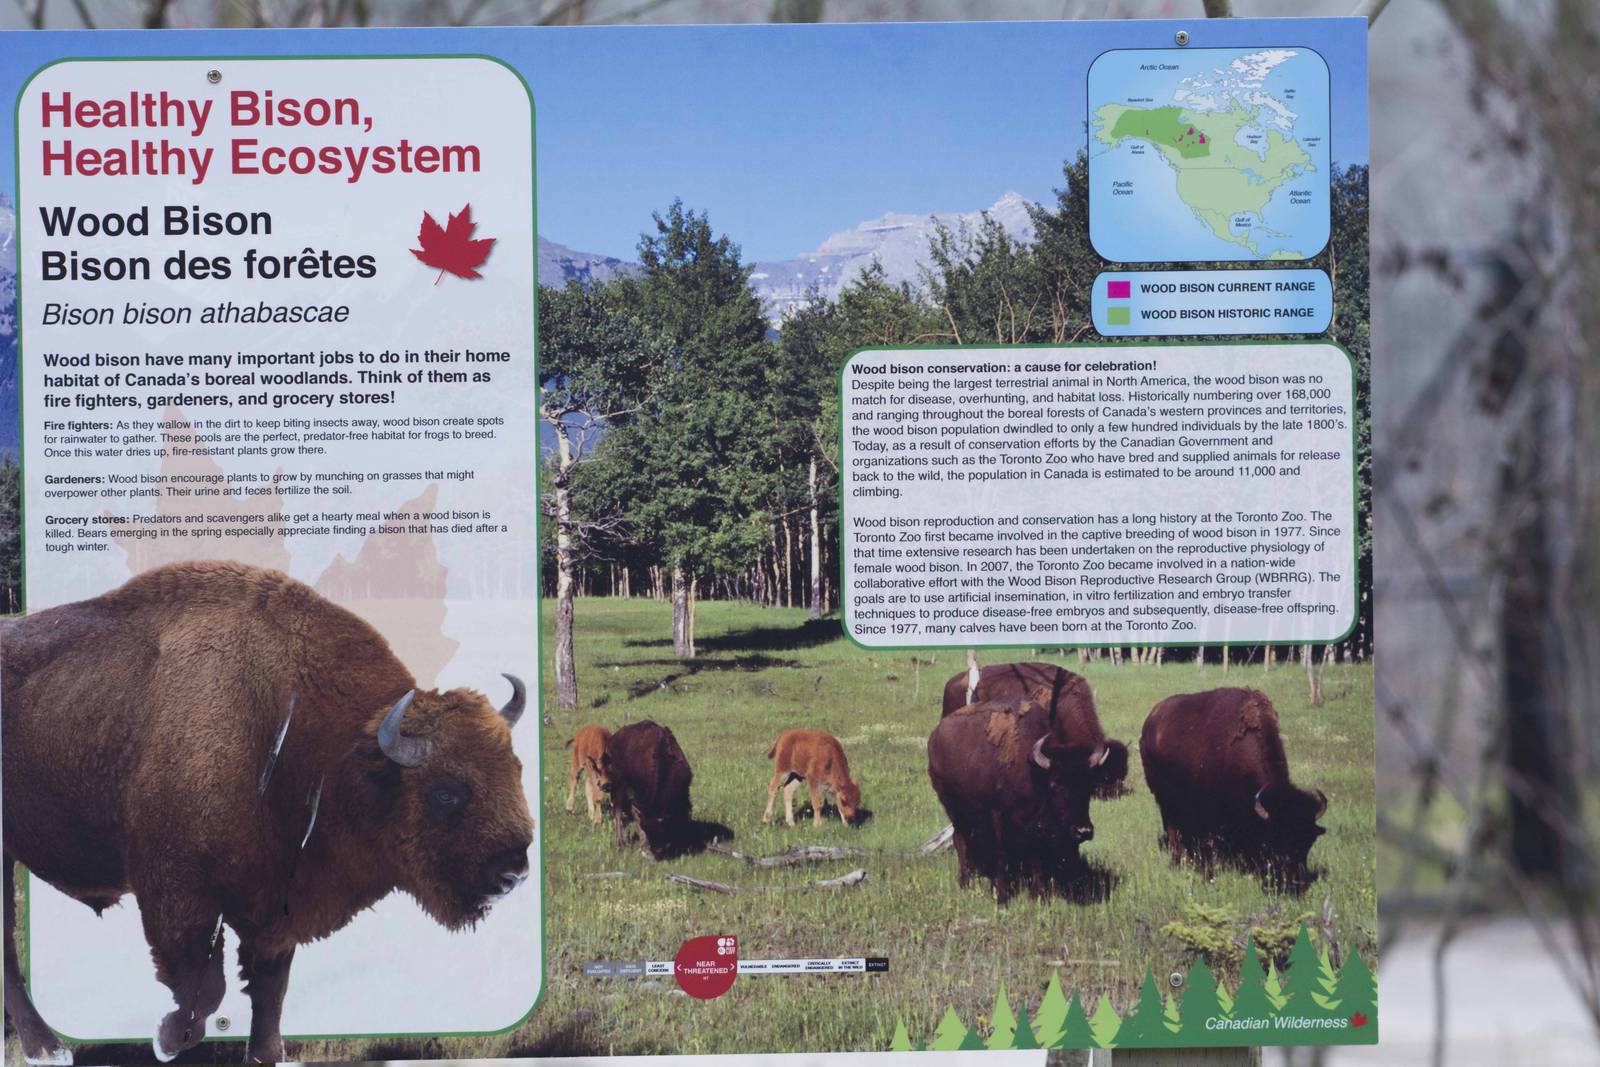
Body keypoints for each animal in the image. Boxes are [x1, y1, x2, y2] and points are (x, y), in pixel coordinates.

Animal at [1, 560, 534, 1064]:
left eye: (515, 767)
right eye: (445, 792)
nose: (514, 875)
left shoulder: (276, 901)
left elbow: (269, 989)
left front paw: (263, 1054)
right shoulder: (179, 893)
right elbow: (203, 988)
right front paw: (168, 1040)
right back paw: (48, 1049)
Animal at [927, 689, 1110, 904]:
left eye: (1089, 786)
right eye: (1055, 784)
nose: (1083, 831)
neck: (1033, 772)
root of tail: (935, 737)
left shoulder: (1036, 827)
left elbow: (1037, 857)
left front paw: (1039, 896)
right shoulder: (998, 817)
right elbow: (1002, 854)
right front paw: (1002, 897)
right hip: (953, 809)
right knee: (960, 840)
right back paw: (965, 883)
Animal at [1140, 686, 1328, 893]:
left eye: (1309, 842)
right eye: (1276, 839)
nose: (1295, 884)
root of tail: (1151, 719)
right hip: (1163, 797)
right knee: (1171, 827)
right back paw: (1177, 860)